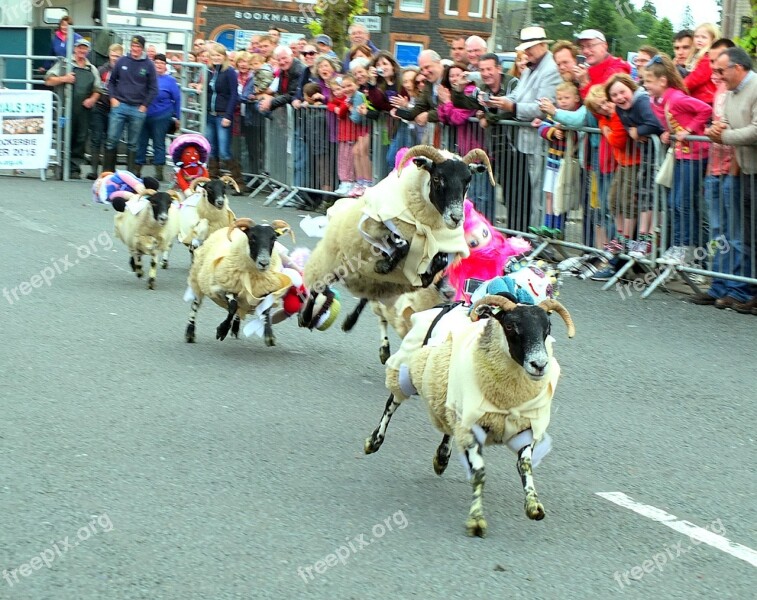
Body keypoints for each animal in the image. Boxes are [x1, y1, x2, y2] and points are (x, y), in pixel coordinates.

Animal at [364, 292, 576, 536]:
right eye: (510, 326)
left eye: (547, 327)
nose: (539, 365)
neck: (508, 397)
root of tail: (446, 305)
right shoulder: (472, 427)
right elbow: (479, 473)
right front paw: (476, 520)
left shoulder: (524, 427)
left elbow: (525, 466)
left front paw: (534, 506)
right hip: (409, 368)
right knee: (393, 403)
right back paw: (374, 441)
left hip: (450, 395)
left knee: (447, 423)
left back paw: (441, 458)